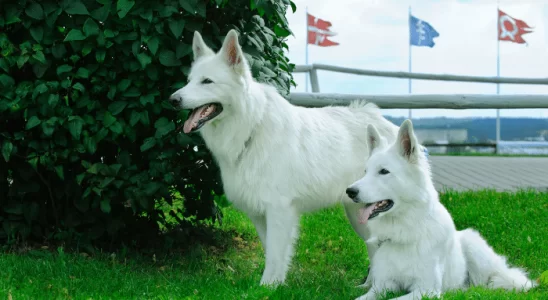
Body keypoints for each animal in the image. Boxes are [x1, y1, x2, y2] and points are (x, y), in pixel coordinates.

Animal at [168, 29, 398, 286]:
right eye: (189, 81)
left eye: (207, 81)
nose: (173, 99)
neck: (251, 128)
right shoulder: (260, 214)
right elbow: (271, 250)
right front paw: (275, 284)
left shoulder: (279, 211)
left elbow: (276, 253)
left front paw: (268, 287)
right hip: (359, 214)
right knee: (374, 248)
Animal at [346, 120, 536, 300]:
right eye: (365, 171)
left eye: (384, 171)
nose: (350, 191)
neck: (404, 231)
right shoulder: (382, 287)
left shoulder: (426, 290)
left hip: (475, 249)